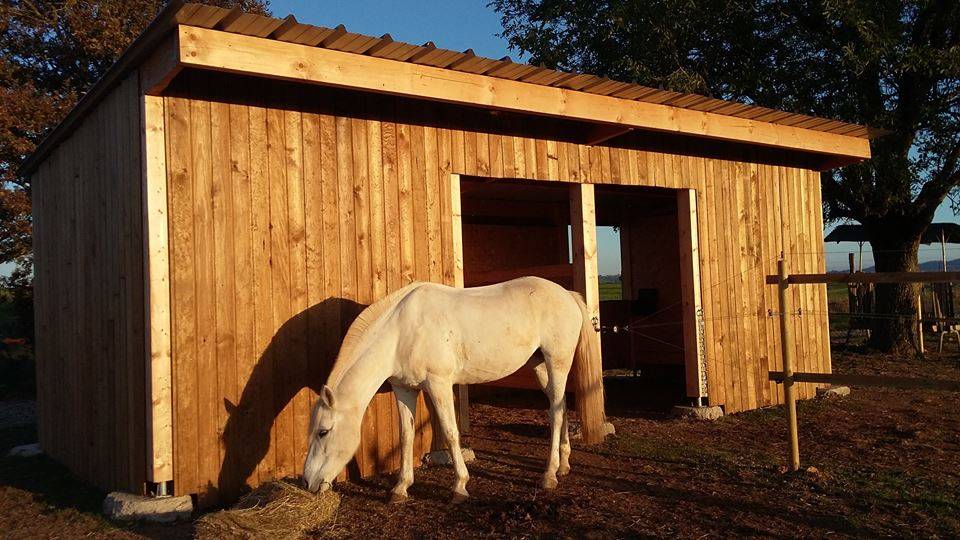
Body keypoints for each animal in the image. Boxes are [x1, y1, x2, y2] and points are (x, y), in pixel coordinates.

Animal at [302, 276, 602, 503]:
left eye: (323, 432)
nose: (307, 482)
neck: (401, 331)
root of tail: (567, 295)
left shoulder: (439, 384)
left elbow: (450, 432)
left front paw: (459, 486)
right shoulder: (404, 389)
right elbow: (406, 435)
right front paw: (400, 489)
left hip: (557, 362)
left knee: (555, 413)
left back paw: (549, 475)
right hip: (540, 366)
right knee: (559, 406)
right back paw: (563, 466)